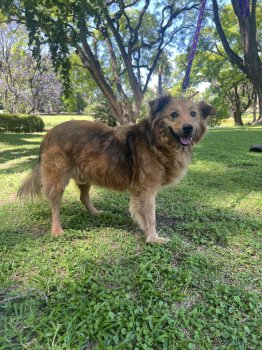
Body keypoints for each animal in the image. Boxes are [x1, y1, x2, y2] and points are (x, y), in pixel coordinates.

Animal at [17, 95, 215, 243]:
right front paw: (153, 238)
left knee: (83, 197)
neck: (157, 141)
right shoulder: (146, 190)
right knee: (55, 205)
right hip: (58, 179)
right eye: (173, 115)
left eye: (193, 114)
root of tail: (49, 133)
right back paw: (57, 230)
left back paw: (95, 213)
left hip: (86, 175)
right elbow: (150, 216)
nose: (189, 128)